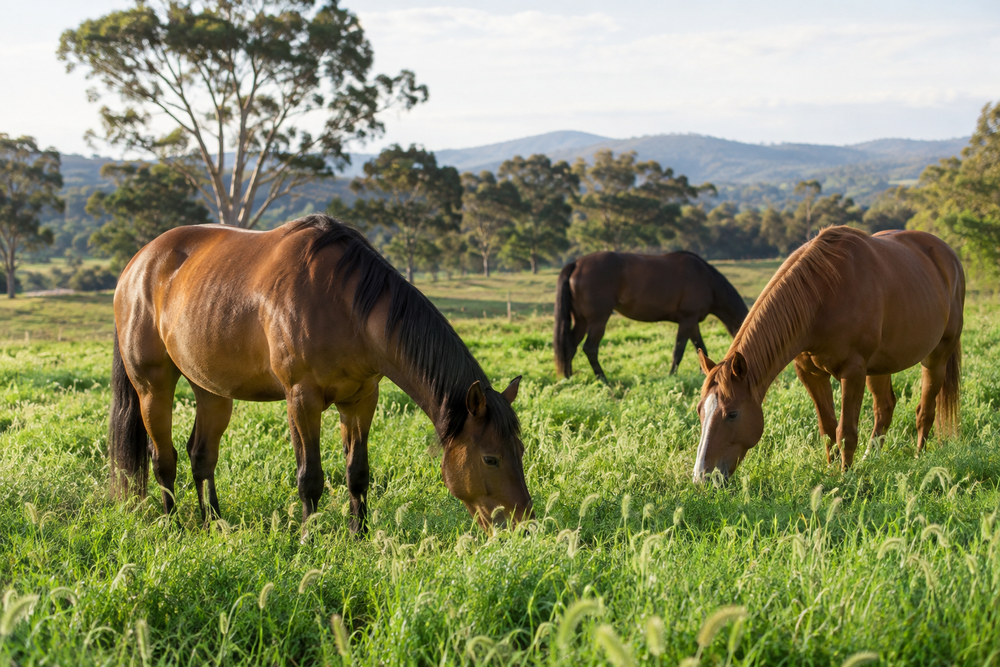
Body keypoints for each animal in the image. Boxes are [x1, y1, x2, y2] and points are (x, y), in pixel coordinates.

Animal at [109, 214, 532, 533]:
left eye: (521, 450)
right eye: (491, 459)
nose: (523, 524)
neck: (344, 304)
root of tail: (138, 265)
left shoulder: (361, 399)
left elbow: (357, 472)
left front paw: (359, 535)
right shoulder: (302, 399)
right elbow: (309, 477)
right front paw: (308, 538)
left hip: (211, 389)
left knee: (201, 456)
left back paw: (214, 523)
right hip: (153, 387)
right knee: (164, 459)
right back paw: (174, 527)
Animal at [554, 251, 748, 380]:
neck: (707, 280)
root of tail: (576, 264)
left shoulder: (692, 322)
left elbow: (700, 347)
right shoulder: (687, 320)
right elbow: (679, 350)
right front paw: (672, 376)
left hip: (581, 321)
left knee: (570, 345)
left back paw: (568, 378)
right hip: (598, 321)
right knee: (590, 348)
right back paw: (603, 380)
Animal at [692, 226, 964, 482]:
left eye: (732, 414)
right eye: (699, 410)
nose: (702, 477)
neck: (823, 296)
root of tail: (949, 256)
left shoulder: (853, 371)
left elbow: (846, 431)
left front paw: (846, 476)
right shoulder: (811, 373)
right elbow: (828, 428)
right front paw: (831, 470)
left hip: (936, 357)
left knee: (925, 410)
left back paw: (918, 457)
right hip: (879, 367)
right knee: (884, 409)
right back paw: (871, 459)